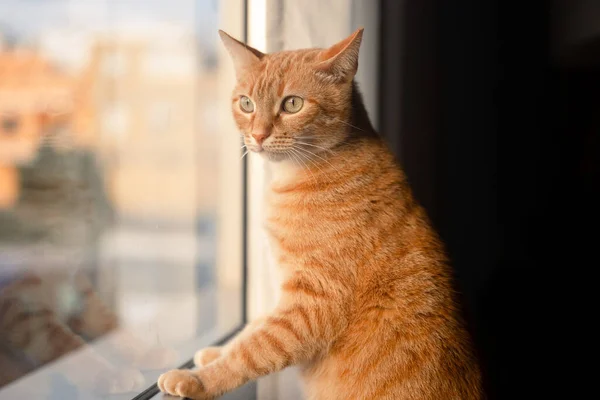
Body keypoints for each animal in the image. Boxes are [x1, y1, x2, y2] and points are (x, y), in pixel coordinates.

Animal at [158, 28, 482, 400]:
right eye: (246, 104)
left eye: (292, 104)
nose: (258, 135)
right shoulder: (288, 293)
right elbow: (253, 329)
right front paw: (215, 353)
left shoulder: (313, 305)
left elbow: (254, 349)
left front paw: (199, 379)